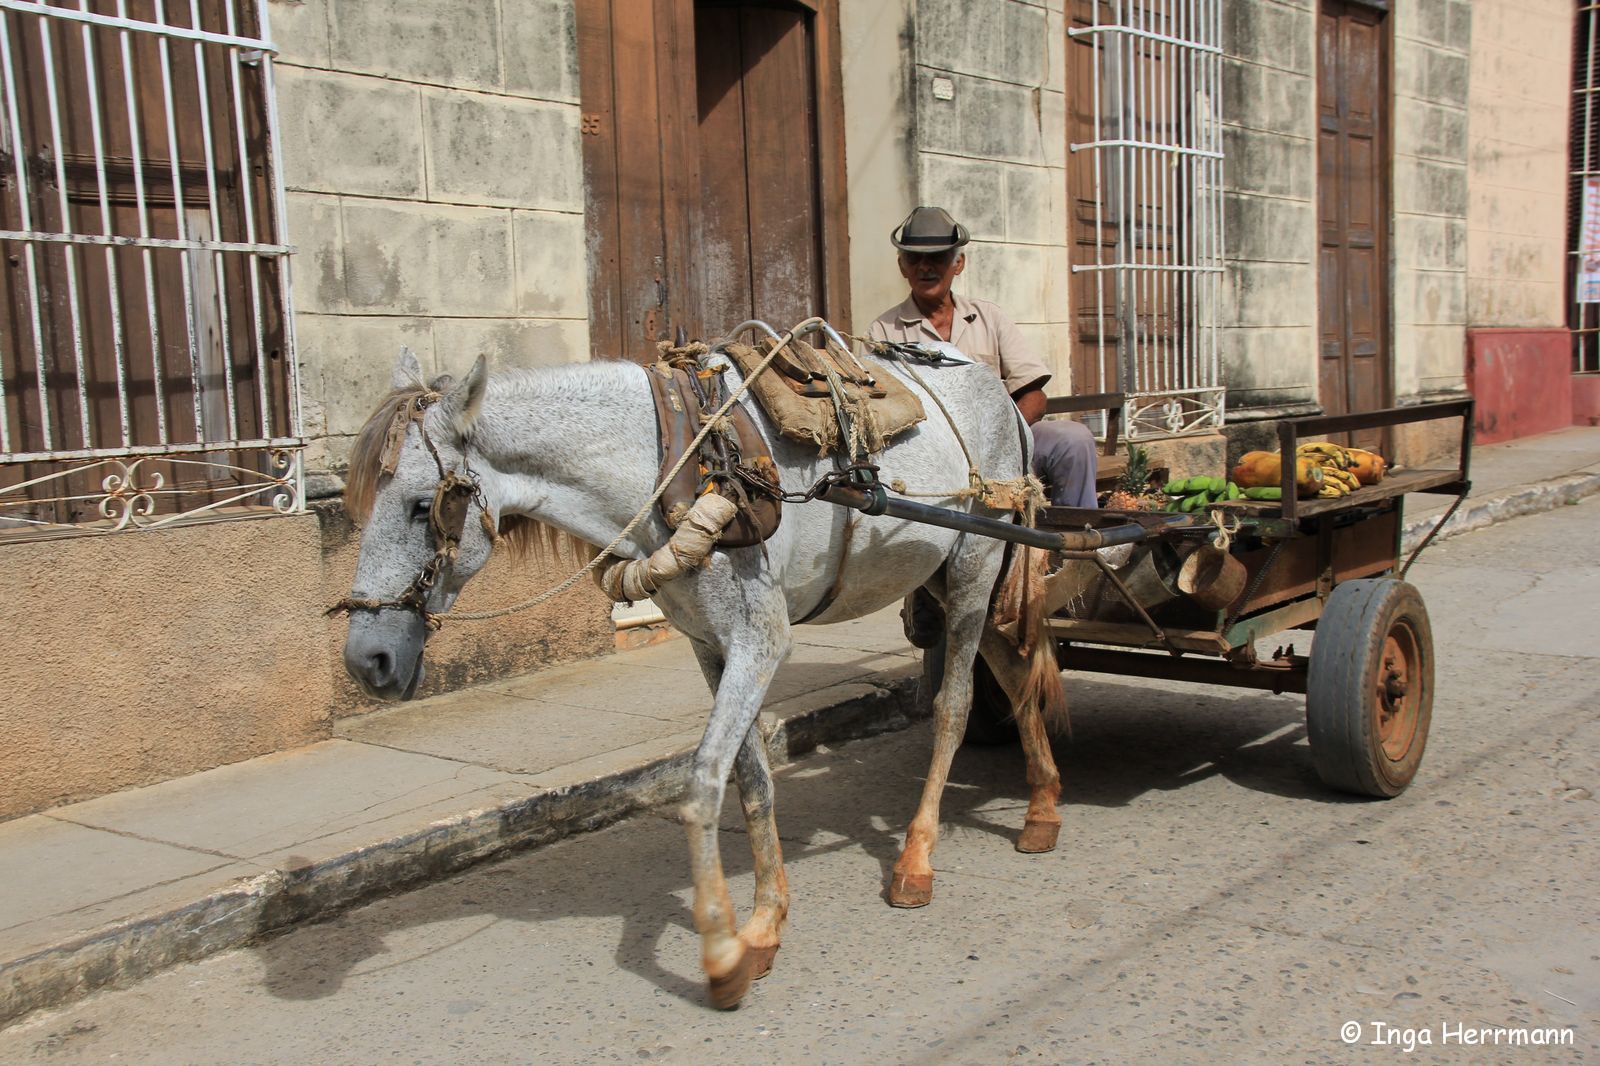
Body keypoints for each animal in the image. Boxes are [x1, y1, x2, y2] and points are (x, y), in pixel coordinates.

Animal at [342, 337, 1068, 1005]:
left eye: (420, 505)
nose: (366, 660)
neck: (671, 460)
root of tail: (1002, 394)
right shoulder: (710, 644)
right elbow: (750, 778)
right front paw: (766, 921)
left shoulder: (759, 640)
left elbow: (700, 786)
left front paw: (722, 952)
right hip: (943, 574)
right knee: (1015, 667)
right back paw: (1042, 806)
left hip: (975, 563)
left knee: (954, 703)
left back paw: (917, 858)